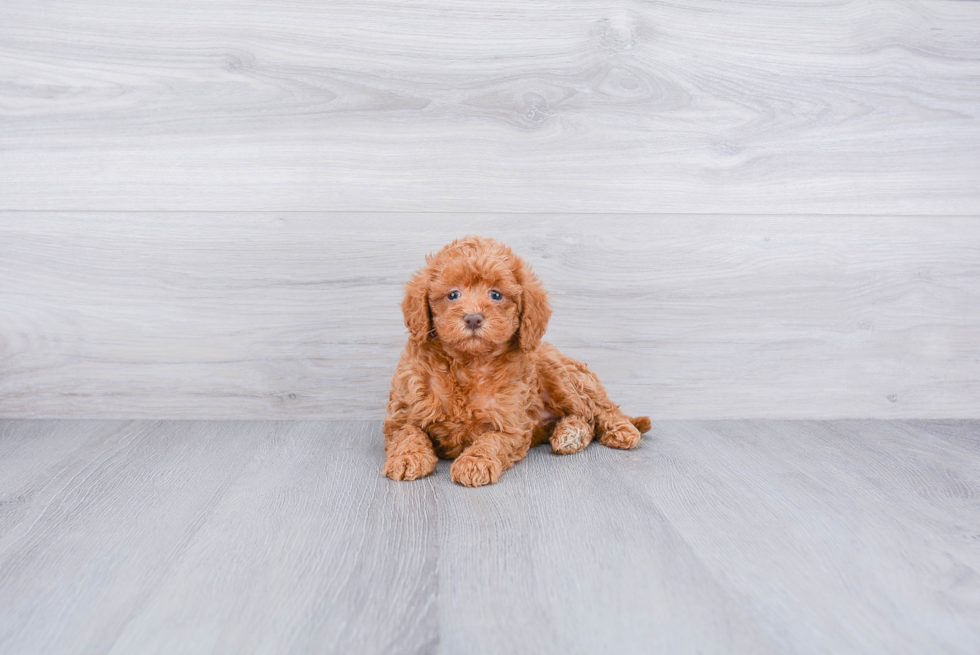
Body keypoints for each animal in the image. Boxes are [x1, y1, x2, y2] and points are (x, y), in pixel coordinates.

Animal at [382, 236, 652, 486]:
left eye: (496, 295)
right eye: (453, 295)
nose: (473, 318)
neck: (468, 364)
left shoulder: (512, 424)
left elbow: (491, 439)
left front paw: (475, 462)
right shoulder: (402, 413)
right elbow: (408, 433)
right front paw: (408, 457)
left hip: (559, 372)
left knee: (598, 408)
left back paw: (620, 430)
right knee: (582, 416)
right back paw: (570, 435)